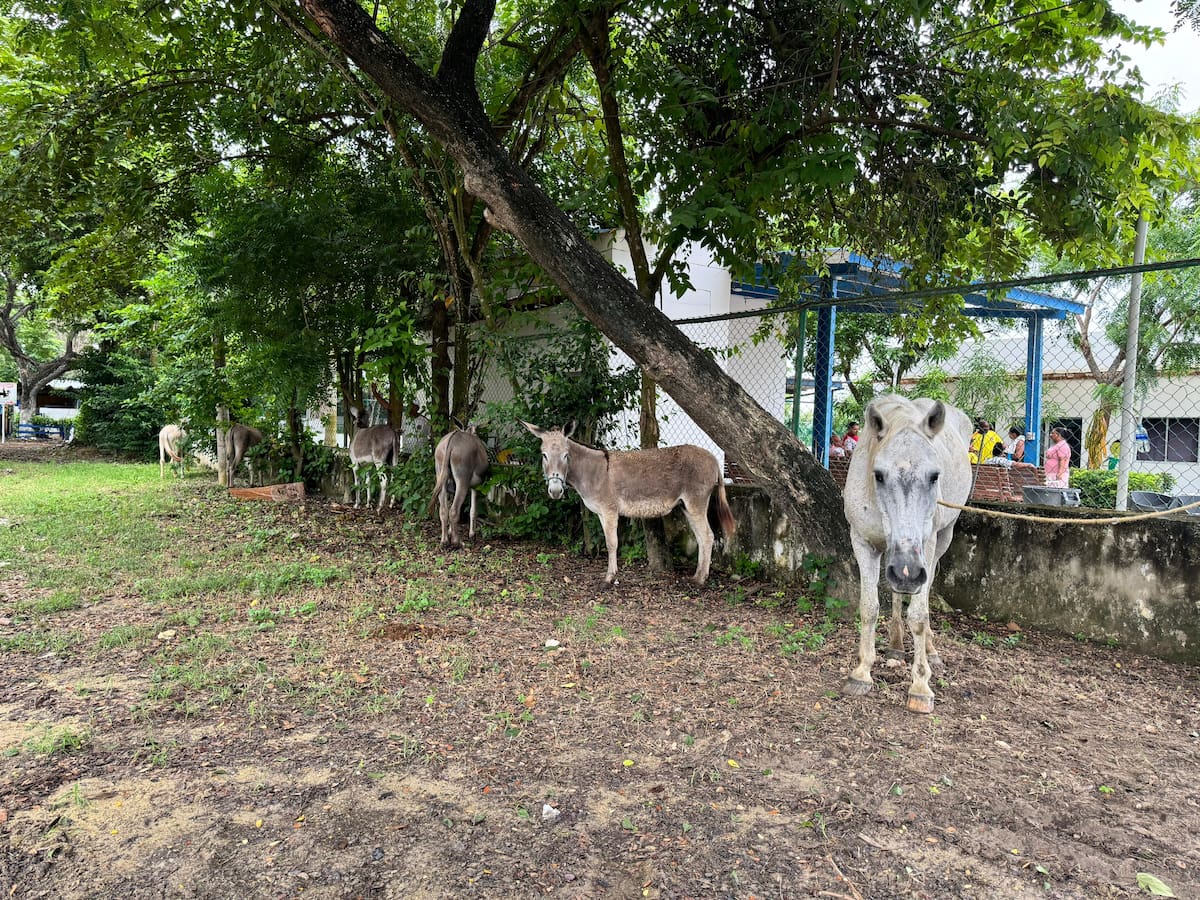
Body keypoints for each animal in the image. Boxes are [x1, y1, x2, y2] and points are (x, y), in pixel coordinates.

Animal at [522, 422, 735, 586]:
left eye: (566, 455)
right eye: (544, 455)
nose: (555, 491)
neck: (592, 471)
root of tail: (713, 458)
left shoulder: (610, 510)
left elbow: (612, 543)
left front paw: (609, 578)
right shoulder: (601, 513)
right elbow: (609, 542)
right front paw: (611, 574)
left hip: (696, 502)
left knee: (707, 536)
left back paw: (701, 580)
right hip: (686, 505)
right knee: (701, 537)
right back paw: (697, 575)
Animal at [840, 395, 972, 714]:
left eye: (934, 475)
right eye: (878, 474)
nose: (908, 573)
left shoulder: (923, 547)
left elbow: (919, 615)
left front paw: (921, 686)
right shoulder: (862, 542)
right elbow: (869, 607)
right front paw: (861, 672)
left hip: (941, 540)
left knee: (927, 585)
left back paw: (930, 651)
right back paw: (897, 646)